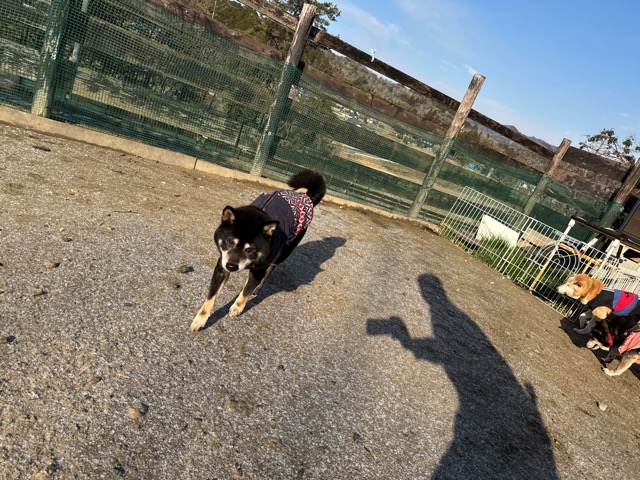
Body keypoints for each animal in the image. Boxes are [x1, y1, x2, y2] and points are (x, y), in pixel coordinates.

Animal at [190, 170, 326, 331]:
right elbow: (211, 297)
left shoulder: (259, 269)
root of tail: (305, 197)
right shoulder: (221, 266)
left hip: (283, 252)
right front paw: (200, 319)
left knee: (270, 270)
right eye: (229, 242)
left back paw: (258, 288)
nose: (232, 266)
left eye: (250, 249)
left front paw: (237, 308)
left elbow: (246, 291)